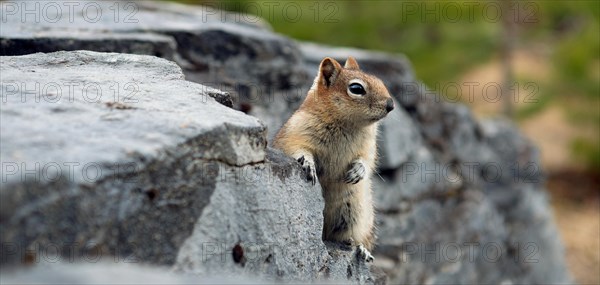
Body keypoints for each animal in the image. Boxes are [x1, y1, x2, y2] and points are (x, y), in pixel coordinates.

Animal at [274, 56, 394, 260]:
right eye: (356, 88)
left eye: (380, 81)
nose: (391, 105)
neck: (348, 124)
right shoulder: (296, 134)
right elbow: (297, 149)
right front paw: (308, 163)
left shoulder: (369, 147)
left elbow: (367, 161)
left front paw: (358, 171)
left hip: (355, 214)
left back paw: (361, 249)